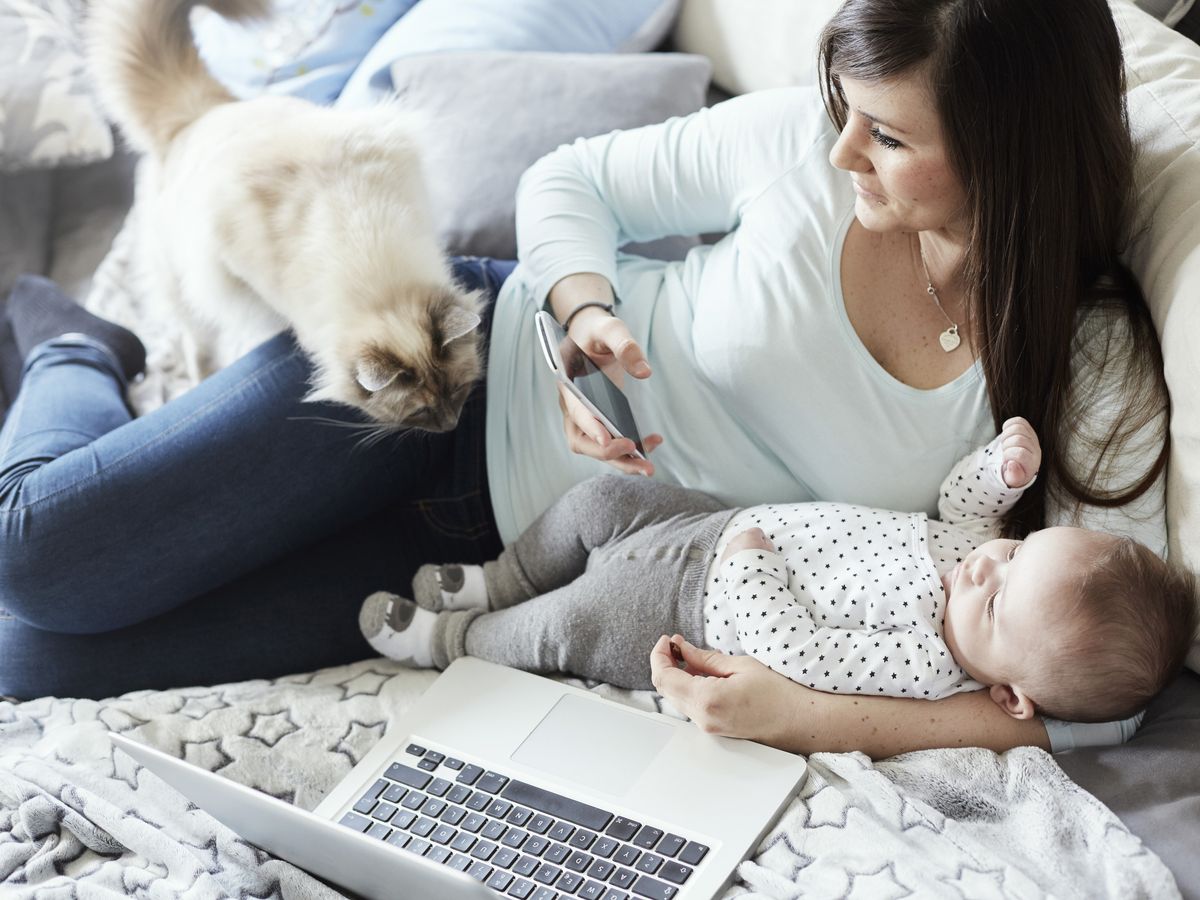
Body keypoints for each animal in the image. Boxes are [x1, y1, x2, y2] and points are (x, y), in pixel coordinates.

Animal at [87, 0, 483, 430]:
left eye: (457, 390)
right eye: (420, 411)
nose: (451, 424)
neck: (380, 284)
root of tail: (201, 114)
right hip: (186, 287)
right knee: (198, 344)